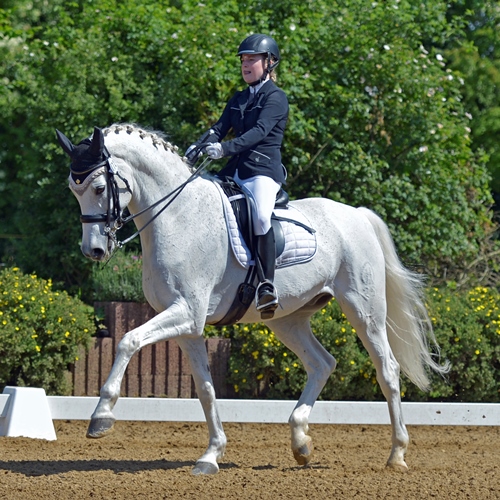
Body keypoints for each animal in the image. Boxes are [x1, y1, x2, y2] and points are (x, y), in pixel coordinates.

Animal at [56, 123, 448, 474]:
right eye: (73, 190)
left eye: (99, 187)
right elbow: (205, 389)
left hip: (363, 309)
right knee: (322, 363)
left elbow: (127, 340)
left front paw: (101, 416)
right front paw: (211, 455)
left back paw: (397, 455)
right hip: (288, 319)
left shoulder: (186, 313)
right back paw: (300, 443)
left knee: (387, 369)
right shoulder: (188, 326)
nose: (93, 250)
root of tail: (357, 214)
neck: (179, 216)